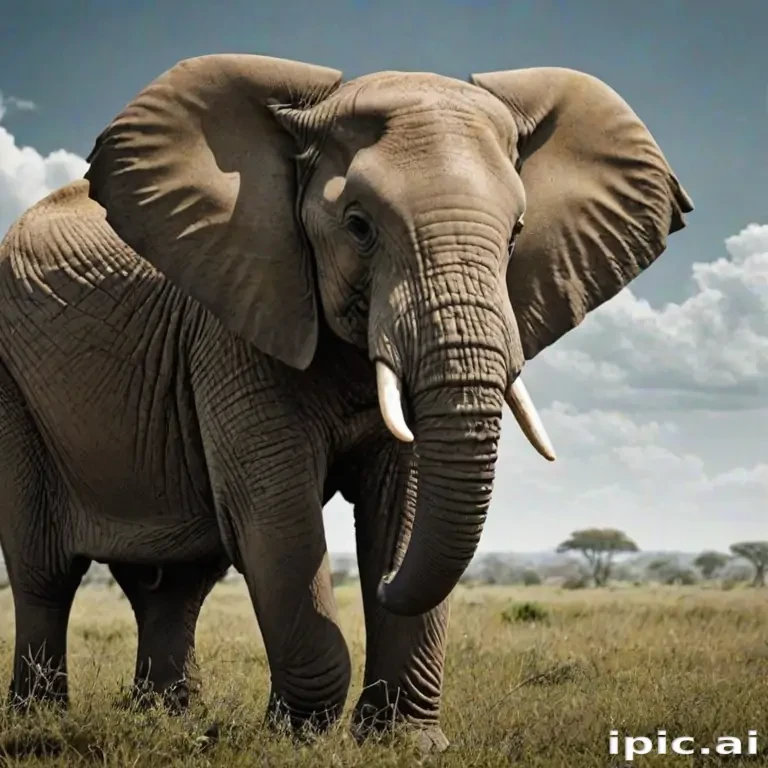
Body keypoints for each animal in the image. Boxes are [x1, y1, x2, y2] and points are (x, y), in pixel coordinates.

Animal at [0, 53, 692, 749]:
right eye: (358, 228)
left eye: (518, 232)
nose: (382, 584)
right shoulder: (235, 320)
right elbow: (274, 513)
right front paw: (296, 737)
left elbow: (402, 500)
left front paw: (403, 742)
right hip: (15, 393)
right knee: (45, 574)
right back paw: (42, 719)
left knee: (175, 583)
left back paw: (168, 720)